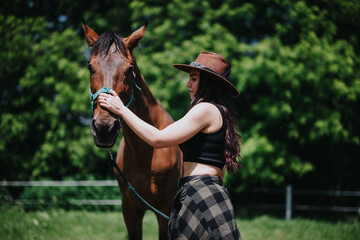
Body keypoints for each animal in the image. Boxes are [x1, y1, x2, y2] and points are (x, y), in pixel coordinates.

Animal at [82, 21, 181, 239]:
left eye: (129, 69)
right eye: (90, 67)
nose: (104, 128)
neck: (146, 154)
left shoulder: (164, 212)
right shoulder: (130, 209)